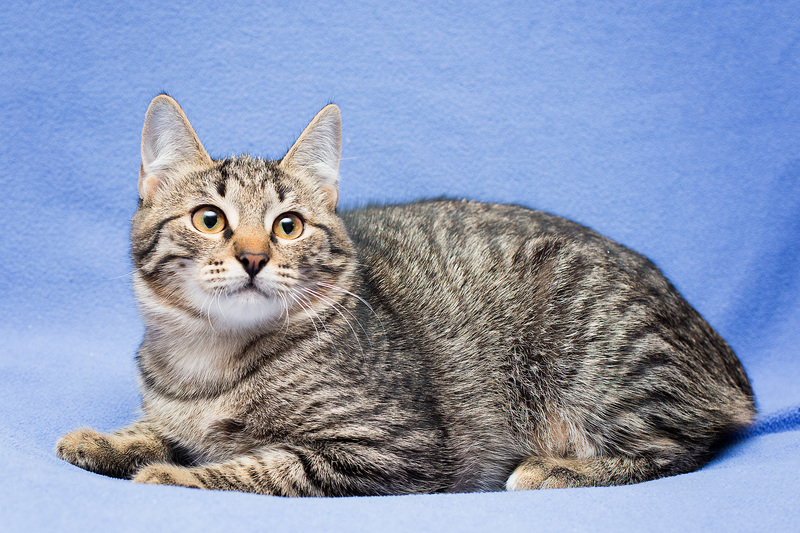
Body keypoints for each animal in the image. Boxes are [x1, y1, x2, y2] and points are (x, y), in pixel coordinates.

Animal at [56, 94, 756, 494]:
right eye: (209, 219)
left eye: (288, 226)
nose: (254, 257)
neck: (209, 360)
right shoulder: (172, 407)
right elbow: (154, 427)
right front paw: (109, 441)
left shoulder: (394, 447)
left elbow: (265, 467)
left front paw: (175, 473)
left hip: (603, 366)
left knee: (673, 448)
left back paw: (554, 469)